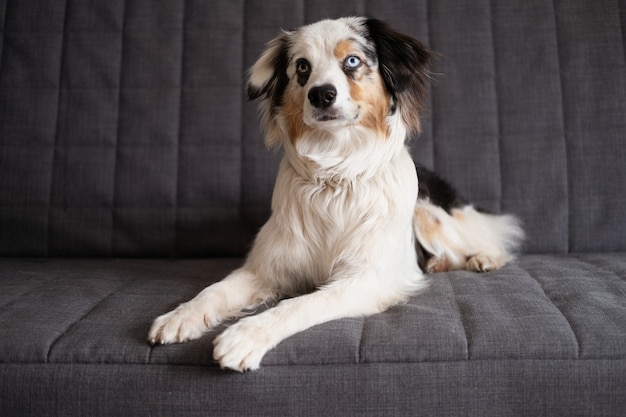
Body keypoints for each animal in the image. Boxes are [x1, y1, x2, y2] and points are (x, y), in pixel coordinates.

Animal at [147, 16, 520, 370]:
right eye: (302, 67)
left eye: (352, 61)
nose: (321, 94)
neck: (336, 175)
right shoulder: (265, 269)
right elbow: (215, 290)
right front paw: (180, 316)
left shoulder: (365, 279)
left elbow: (301, 304)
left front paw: (244, 336)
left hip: (430, 215)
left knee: (487, 237)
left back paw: (482, 259)